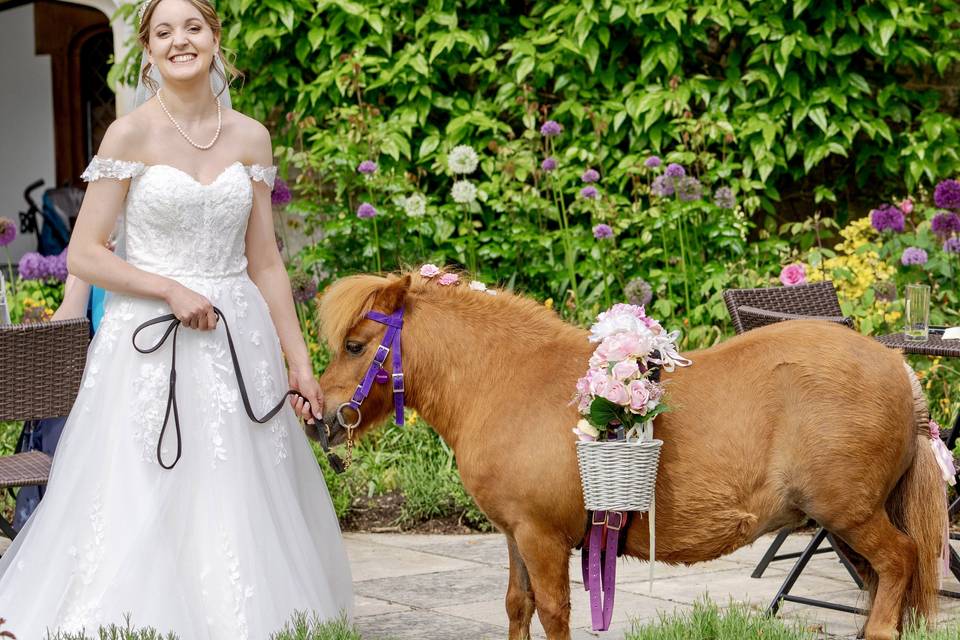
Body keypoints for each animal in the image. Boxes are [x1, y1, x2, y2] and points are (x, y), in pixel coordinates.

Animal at [318, 270, 948, 640]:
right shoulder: (515, 534)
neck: (510, 380)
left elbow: (553, 611)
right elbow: (518, 606)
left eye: (354, 345)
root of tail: (898, 368)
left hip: (851, 516)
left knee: (898, 565)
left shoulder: (542, 538)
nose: (318, 415)